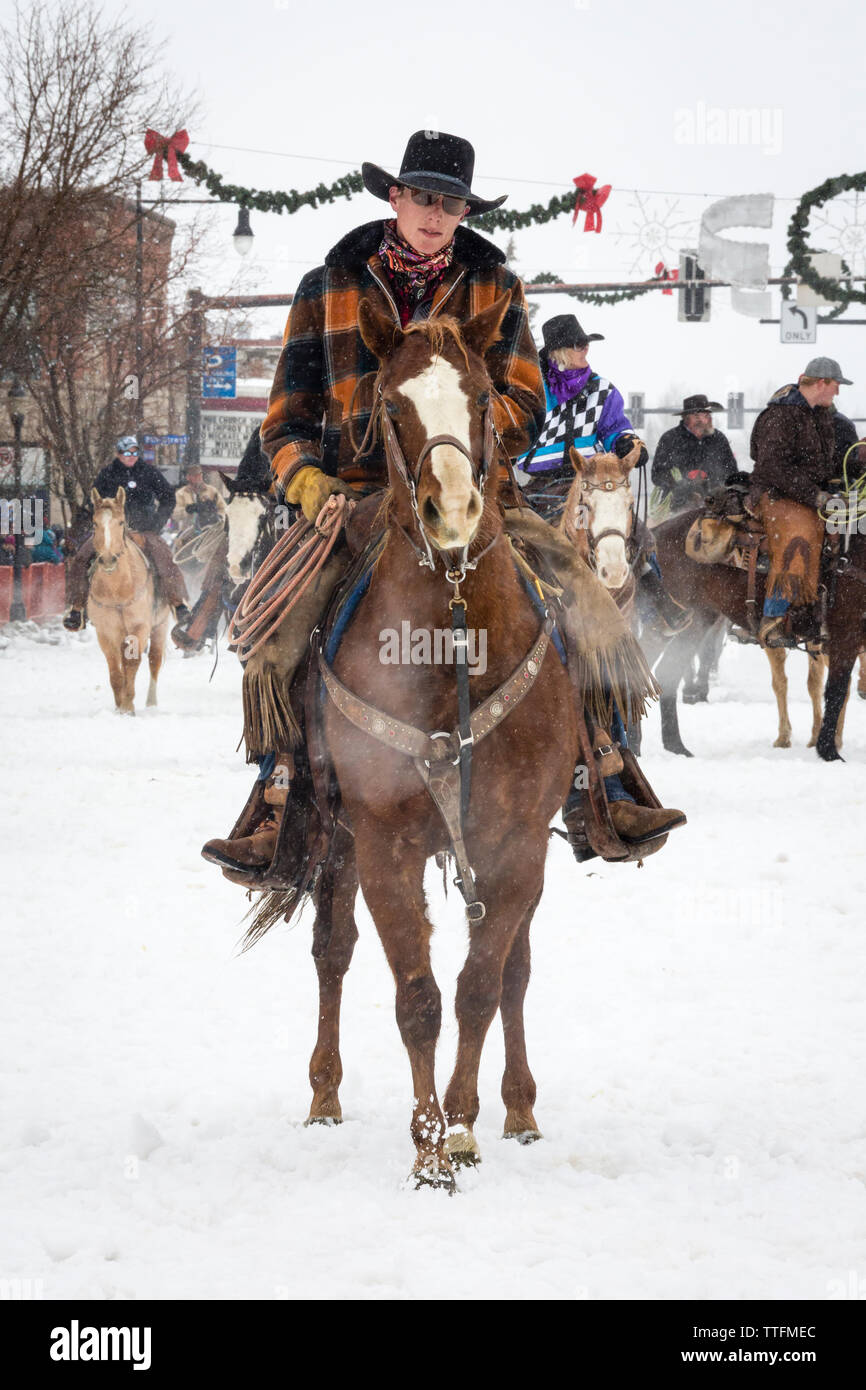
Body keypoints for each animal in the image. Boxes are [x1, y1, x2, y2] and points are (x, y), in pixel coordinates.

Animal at [88, 489, 170, 711]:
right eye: (94, 523)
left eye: (121, 522)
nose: (108, 559)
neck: (118, 589)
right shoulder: (106, 633)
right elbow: (116, 673)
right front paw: (120, 708)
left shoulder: (139, 628)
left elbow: (133, 664)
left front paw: (128, 707)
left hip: (160, 626)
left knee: (154, 660)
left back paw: (151, 703)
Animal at [254, 298, 583, 1189]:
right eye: (391, 406)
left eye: (483, 399)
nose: (454, 514)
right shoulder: (383, 843)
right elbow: (419, 998)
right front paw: (430, 1149)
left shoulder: (516, 846)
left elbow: (481, 985)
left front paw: (465, 1128)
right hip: (335, 837)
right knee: (332, 952)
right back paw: (323, 1097)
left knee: (516, 970)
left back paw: (521, 1111)